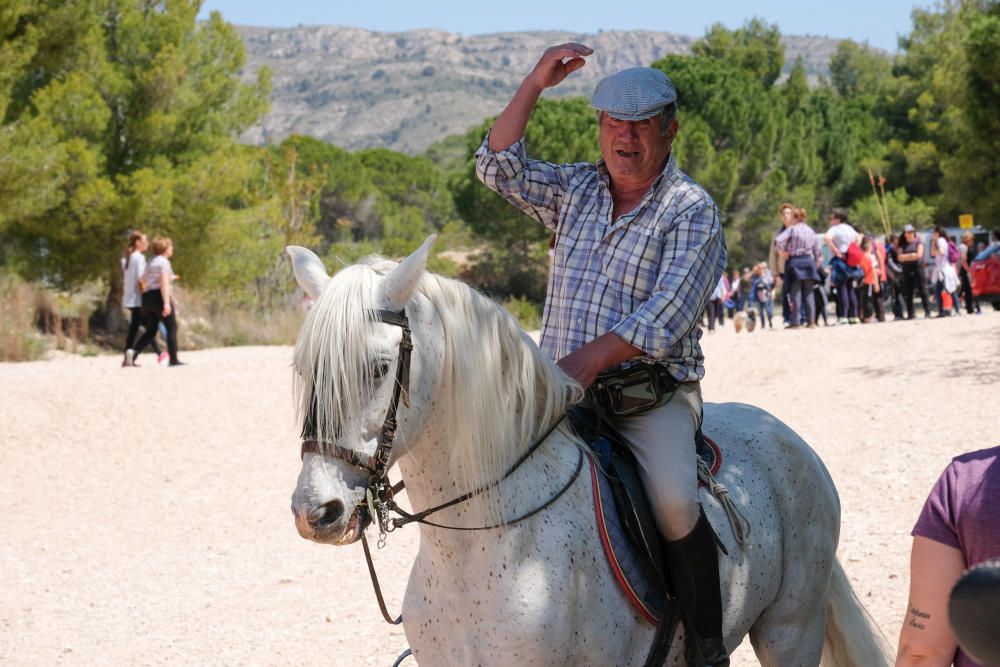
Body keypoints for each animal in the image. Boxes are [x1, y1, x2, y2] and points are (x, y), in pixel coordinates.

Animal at [286, 237, 888, 664]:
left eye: (379, 367)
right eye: (303, 368)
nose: (316, 511)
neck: (483, 545)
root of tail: (788, 438)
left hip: (790, 630)